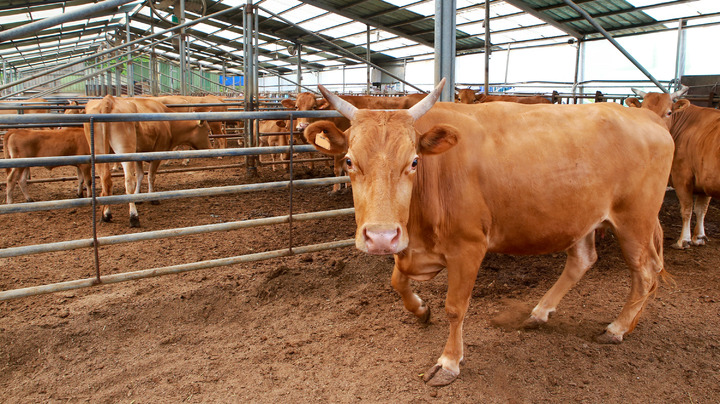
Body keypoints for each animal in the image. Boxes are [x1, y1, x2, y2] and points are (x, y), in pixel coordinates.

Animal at [83, 95, 211, 227]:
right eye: (207, 130)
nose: (210, 148)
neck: (169, 123)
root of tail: (109, 100)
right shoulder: (157, 152)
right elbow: (150, 176)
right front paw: (152, 198)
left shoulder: (138, 155)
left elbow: (140, 175)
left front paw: (138, 196)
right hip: (125, 151)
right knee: (129, 181)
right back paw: (133, 216)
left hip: (99, 152)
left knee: (106, 181)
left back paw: (106, 214)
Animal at [304, 78, 676, 386]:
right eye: (349, 161)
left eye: (413, 161)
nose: (381, 237)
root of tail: (649, 118)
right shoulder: (411, 248)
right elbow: (397, 282)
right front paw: (421, 310)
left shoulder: (468, 246)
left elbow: (456, 307)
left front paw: (449, 362)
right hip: (584, 216)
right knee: (583, 260)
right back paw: (539, 313)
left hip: (635, 220)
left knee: (645, 271)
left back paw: (617, 328)